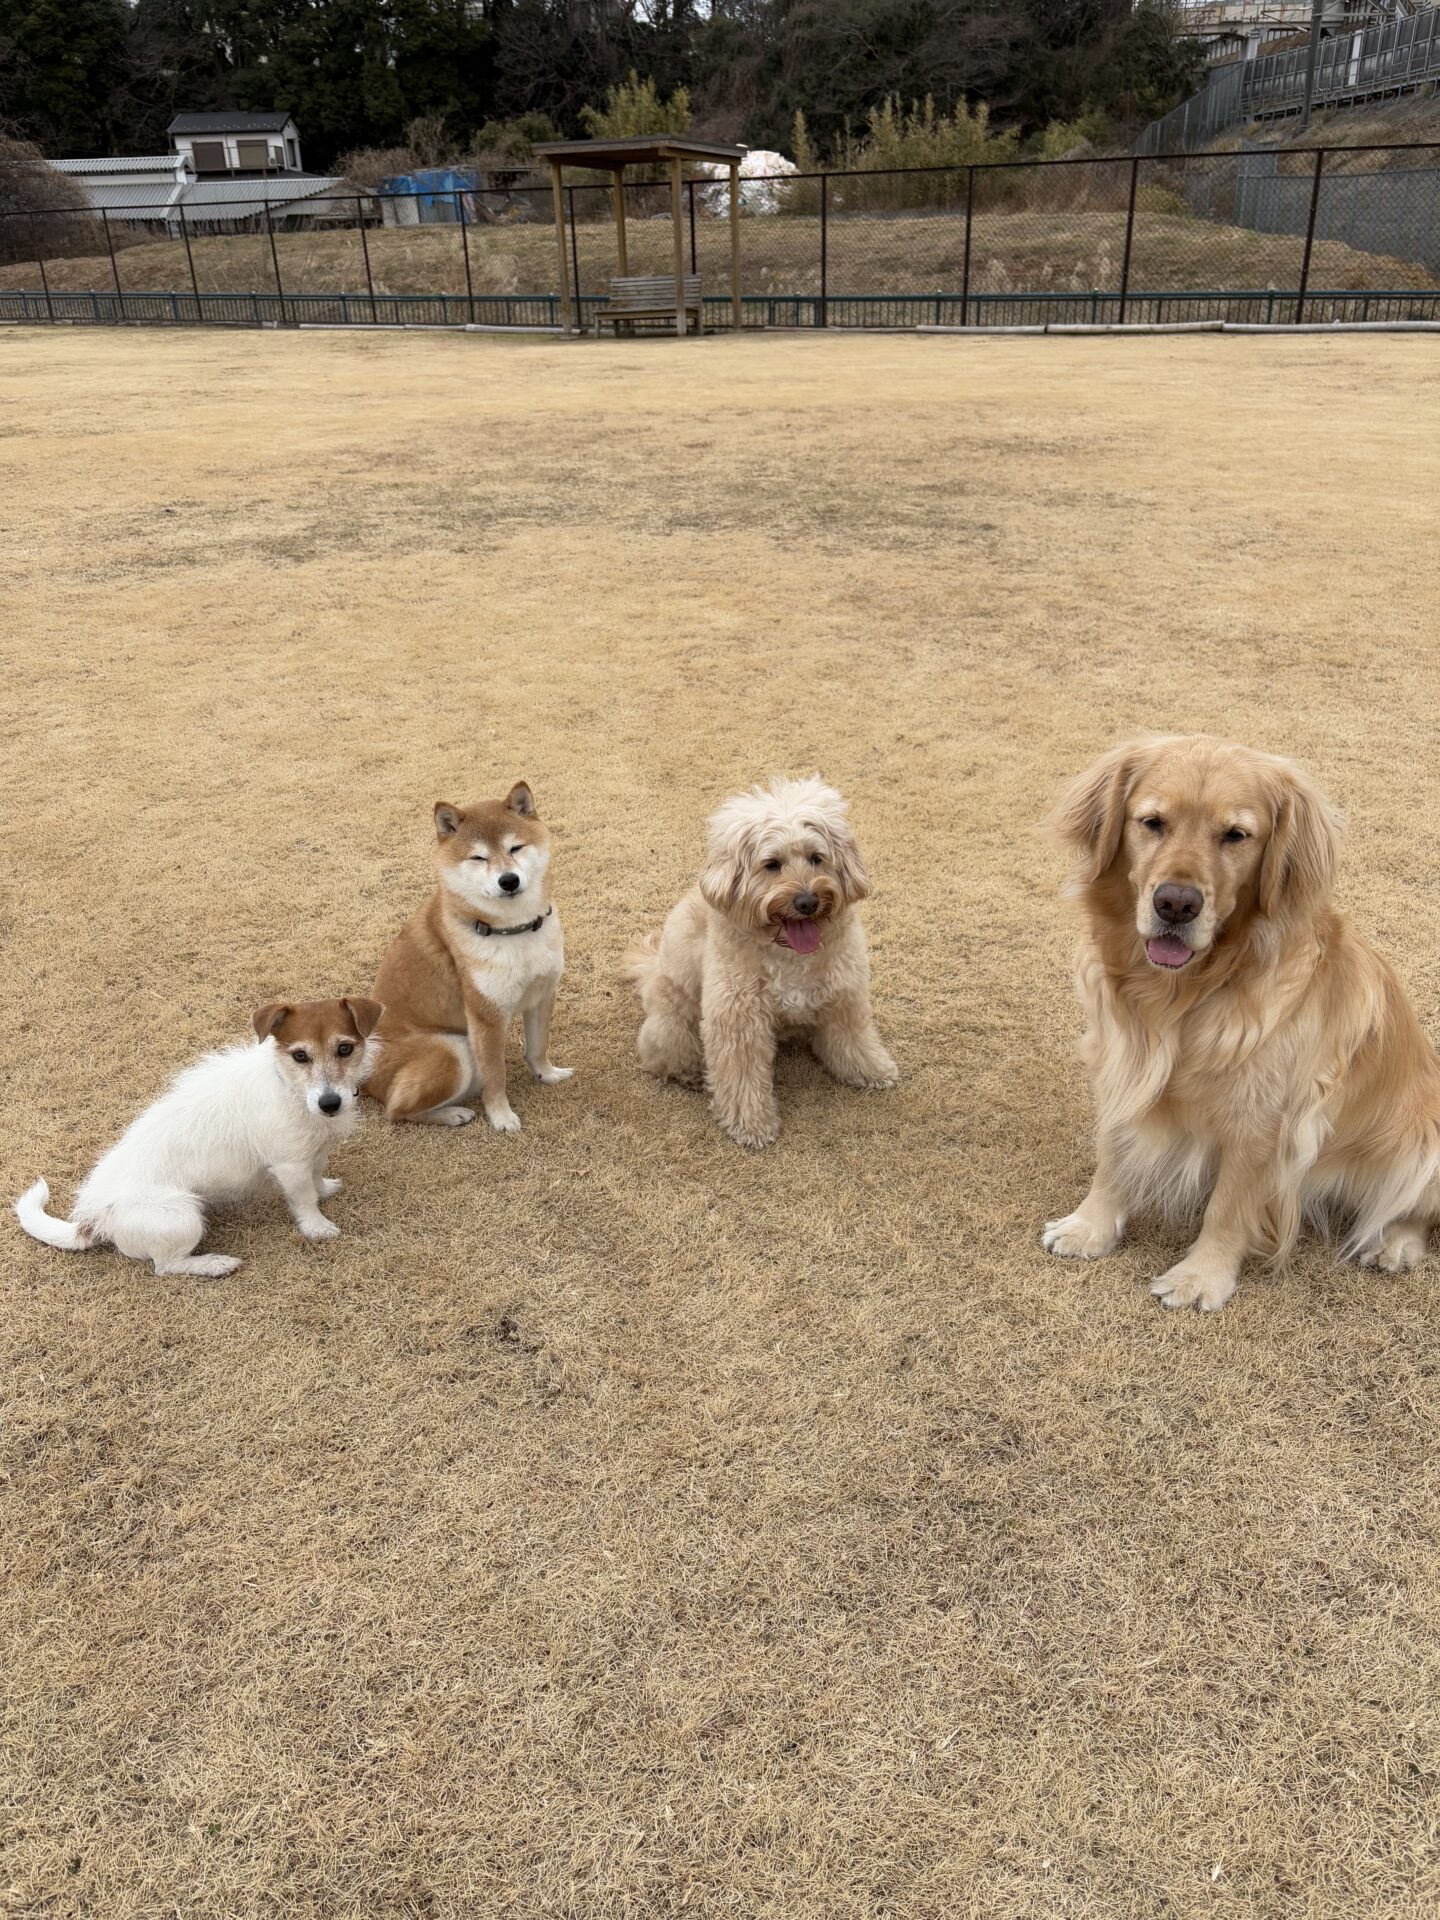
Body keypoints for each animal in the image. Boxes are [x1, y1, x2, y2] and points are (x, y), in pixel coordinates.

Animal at [14, 996, 382, 1277]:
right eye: (300, 1055)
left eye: (345, 1049)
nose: (330, 1104)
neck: (290, 1087)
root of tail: (94, 1219)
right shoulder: (289, 1165)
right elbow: (304, 1199)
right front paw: (317, 1227)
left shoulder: (313, 1152)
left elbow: (316, 1177)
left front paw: (325, 1189)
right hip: (184, 1216)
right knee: (165, 1266)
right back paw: (214, 1264)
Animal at [366, 782, 571, 1131]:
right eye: (478, 857)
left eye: (516, 848)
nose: (508, 880)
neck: (515, 930)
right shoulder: (485, 1017)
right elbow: (496, 1074)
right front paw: (501, 1116)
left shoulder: (542, 993)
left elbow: (538, 1046)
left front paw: (547, 1074)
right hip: (454, 1049)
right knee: (396, 1109)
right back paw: (452, 1114)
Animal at [628, 776, 897, 1148]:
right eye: (772, 864)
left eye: (816, 858)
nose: (807, 901)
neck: (787, 951)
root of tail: (651, 969)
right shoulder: (738, 1020)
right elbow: (742, 1078)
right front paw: (751, 1125)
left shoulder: (843, 996)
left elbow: (853, 1040)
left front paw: (871, 1070)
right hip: (673, 1027)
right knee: (667, 1055)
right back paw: (692, 1075)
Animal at [1043, 732, 1440, 1311]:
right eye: (1152, 822)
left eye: (1235, 835)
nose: (1176, 903)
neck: (1184, 995)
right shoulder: (1121, 1061)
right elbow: (1112, 1157)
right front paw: (1089, 1228)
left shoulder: (1264, 1119)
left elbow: (1228, 1207)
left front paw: (1200, 1277)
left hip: (1422, 1141)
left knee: (1415, 1208)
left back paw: (1394, 1243)